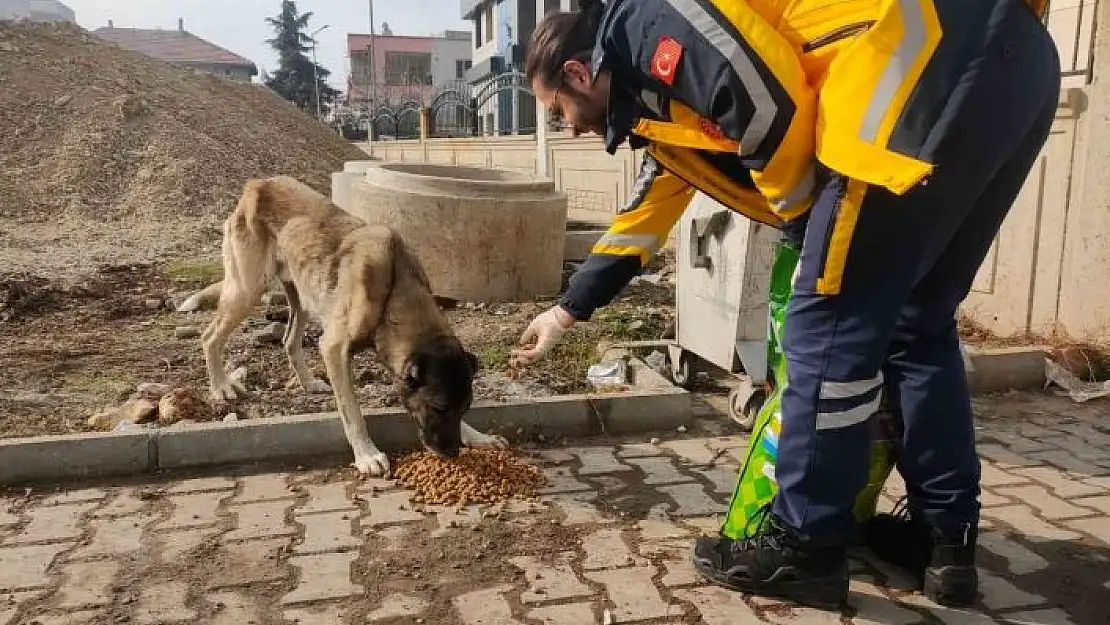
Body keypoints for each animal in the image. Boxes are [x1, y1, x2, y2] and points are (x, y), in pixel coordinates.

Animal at [177, 173, 508, 477]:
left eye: (464, 408)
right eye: (439, 408)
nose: (453, 453)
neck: (394, 290)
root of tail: (258, 185)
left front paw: (477, 436)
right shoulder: (334, 349)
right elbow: (352, 411)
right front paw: (366, 454)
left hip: (302, 296)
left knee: (289, 340)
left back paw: (308, 383)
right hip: (247, 290)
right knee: (210, 336)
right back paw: (221, 386)